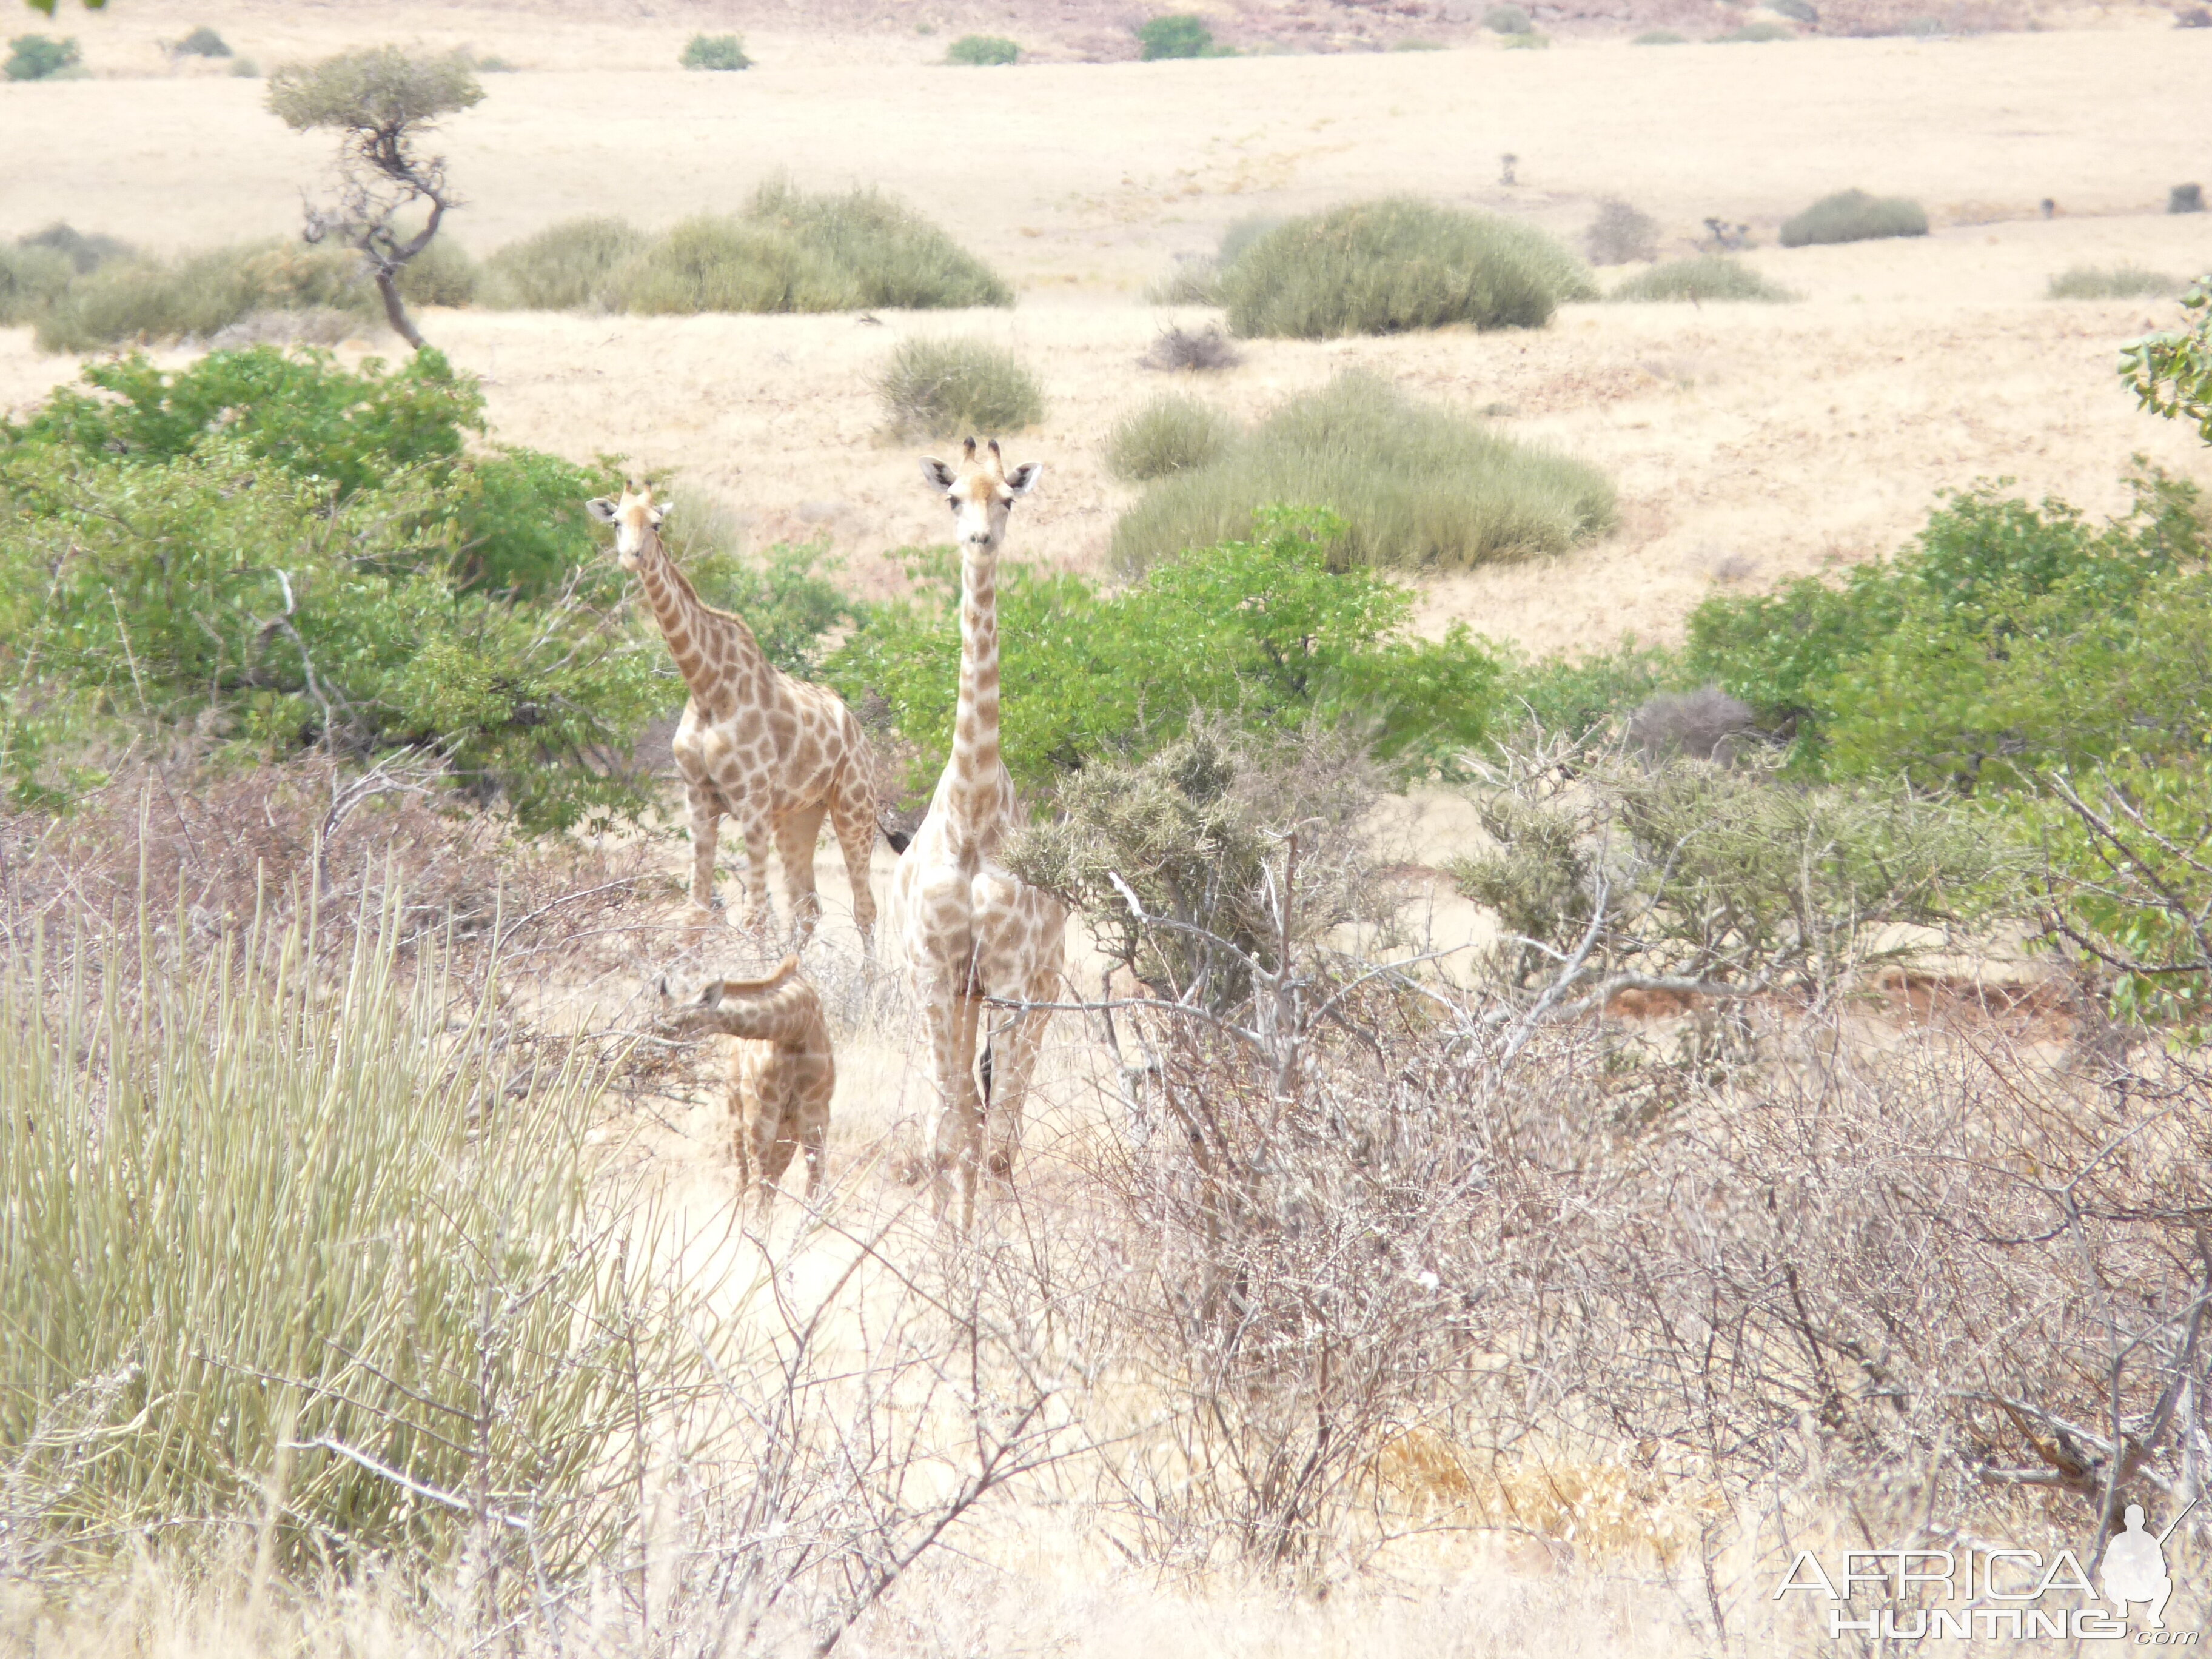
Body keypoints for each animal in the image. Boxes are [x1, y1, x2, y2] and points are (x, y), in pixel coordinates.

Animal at [588, 480, 880, 947]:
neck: (707, 686)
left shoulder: (752, 797)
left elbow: (755, 916)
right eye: (616, 521)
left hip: (854, 805)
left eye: (657, 524)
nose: (631, 558)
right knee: (808, 907)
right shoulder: (698, 797)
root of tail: (859, 731)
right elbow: (695, 915)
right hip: (799, 814)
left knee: (864, 909)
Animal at [654, 955, 836, 1212]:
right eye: (660, 1018)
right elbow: (757, 1185)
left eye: (679, 1022)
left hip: (786, 1130)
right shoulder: (760, 1114)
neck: (797, 1028)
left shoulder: (815, 1115)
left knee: (769, 1180)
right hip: (738, 1114)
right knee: (745, 1179)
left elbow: (815, 1184)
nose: (655, 1052)